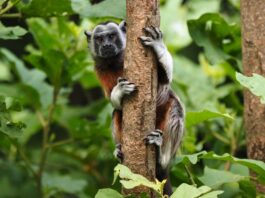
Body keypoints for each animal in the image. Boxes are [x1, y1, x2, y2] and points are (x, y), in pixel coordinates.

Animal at [84, 20, 184, 195]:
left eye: (111, 36)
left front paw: (158, 46)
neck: (115, 61)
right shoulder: (100, 69)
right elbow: (115, 103)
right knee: (116, 113)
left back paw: (161, 159)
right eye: (99, 39)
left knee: (175, 109)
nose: (107, 45)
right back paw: (119, 151)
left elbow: (166, 79)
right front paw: (119, 91)